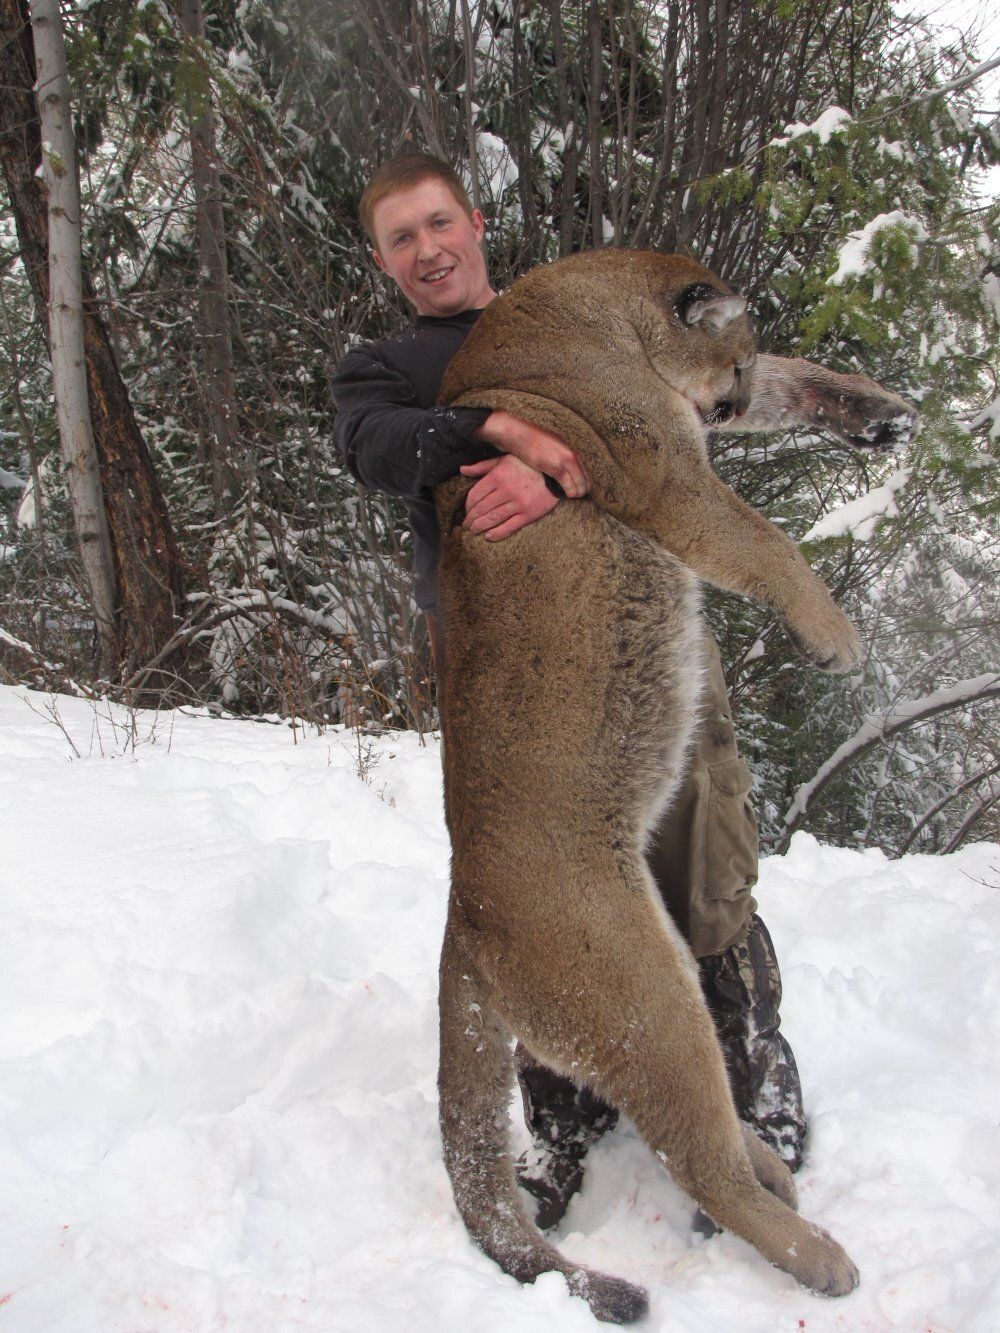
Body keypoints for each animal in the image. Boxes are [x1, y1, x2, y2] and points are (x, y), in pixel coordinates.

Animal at [437, 250, 869, 1322]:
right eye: (738, 354)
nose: (734, 399)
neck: (597, 306)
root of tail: (465, 914)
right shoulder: (668, 476)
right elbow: (768, 542)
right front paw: (836, 639)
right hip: (645, 996)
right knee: (697, 1154)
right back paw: (818, 1255)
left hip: (668, 968)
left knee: (710, 1115)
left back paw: (775, 1167)